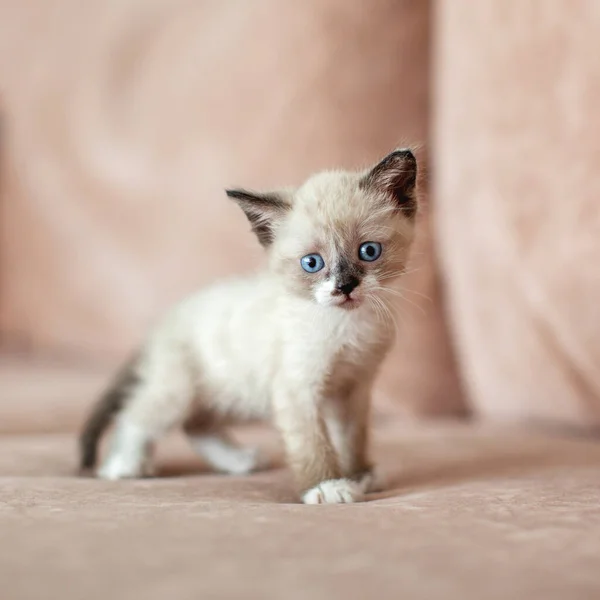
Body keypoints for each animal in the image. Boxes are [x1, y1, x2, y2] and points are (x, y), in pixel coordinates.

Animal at [78, 149, 418, 502]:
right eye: (312, 263)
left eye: (369, 251)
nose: (346, 286)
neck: (347, 324)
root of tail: (163, 322)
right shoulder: (297, 388)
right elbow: (312, 443)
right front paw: (327, 486)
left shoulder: (353, 388)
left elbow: (352, 437)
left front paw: (360, 475)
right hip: (181, 391)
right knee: (136, 415)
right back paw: (122, 466)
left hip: (236, 395)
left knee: (195, 425)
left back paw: (238, 461)